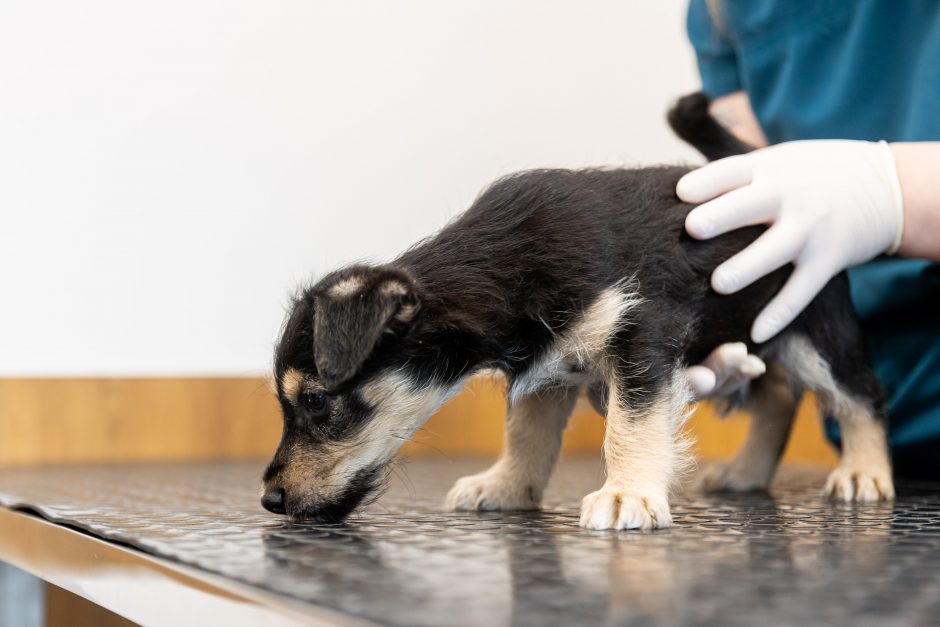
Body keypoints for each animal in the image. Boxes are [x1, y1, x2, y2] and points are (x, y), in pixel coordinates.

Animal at [260, 94, 892, 528]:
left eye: (316, 402)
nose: (269, 498)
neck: (504, 265)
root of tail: (752, 160)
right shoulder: (546, 372)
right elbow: (527, 436)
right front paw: (506, 487)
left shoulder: (640, 333)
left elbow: (630, 427)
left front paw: (627, 494)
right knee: (779, 396)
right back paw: (745, 473)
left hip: (818, 326)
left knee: (858, 395)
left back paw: (864, 471)